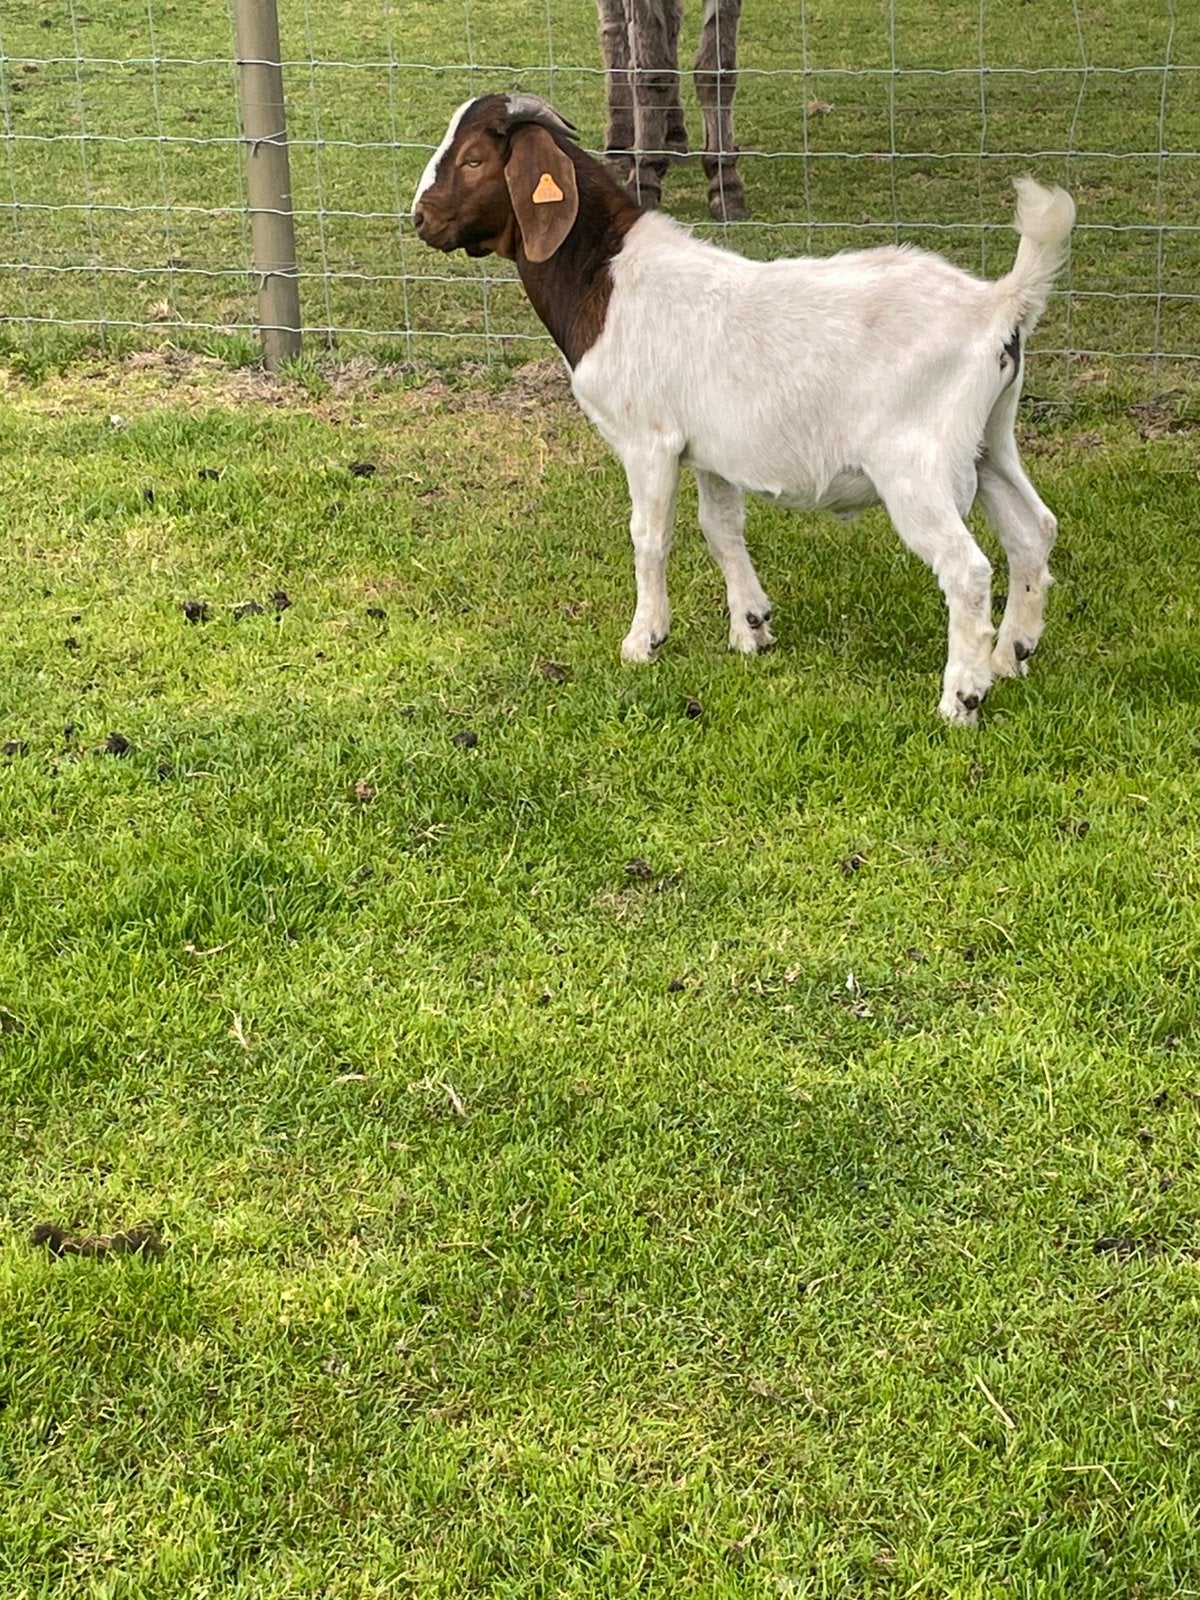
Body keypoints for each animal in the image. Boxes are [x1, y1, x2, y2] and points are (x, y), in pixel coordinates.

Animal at [412, 94, 1075, 724]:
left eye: (474, 160)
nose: (419, 219)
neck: (607, 277)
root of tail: (998, 305)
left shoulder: (649, 440)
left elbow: (650, 535)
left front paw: (643, 641)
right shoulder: (709, 450)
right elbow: (721, 528)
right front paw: (750, 628)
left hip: (918, 465)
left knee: (967, 570)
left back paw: (962, 697)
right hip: (988, 441)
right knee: (1033, 530)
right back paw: (1012, 654)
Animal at [596, 0, 746, 220]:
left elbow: (715, 72)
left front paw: (725, 186)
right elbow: (653, 72)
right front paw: (644, 183)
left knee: (671, 26)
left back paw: (674, 137)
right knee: (614, 29)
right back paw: (619, 148)